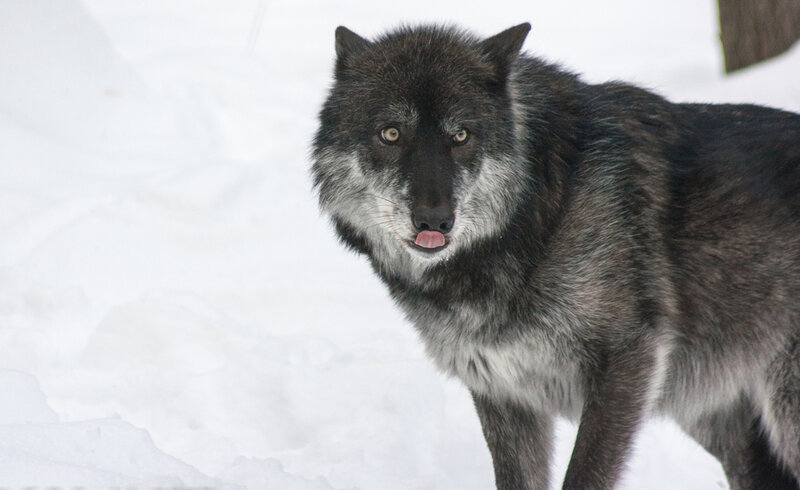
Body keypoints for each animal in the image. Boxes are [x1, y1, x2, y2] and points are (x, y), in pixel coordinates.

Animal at [312, 22, 800, 490]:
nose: (434, 220)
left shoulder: (625, 361)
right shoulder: (503, 391)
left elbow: (583, 476)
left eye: (461, 135)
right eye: (391, 133)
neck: (538, 214)